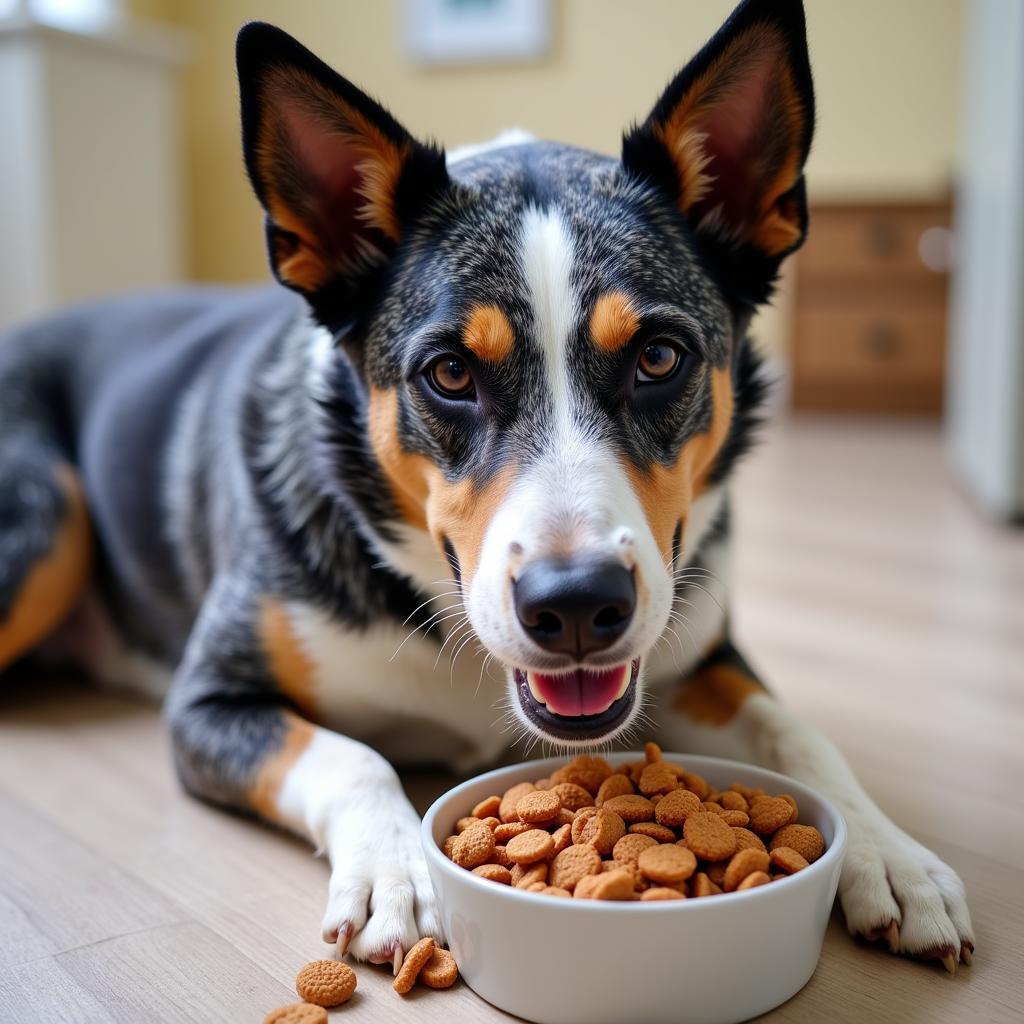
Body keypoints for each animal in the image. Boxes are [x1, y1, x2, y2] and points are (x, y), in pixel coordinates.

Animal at [0, 0, 970, 974]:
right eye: (451, 374)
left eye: (660, 358)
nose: (575, 605)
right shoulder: (207, 699)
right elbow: (356, 758)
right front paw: (401, 872)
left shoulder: (701, 655)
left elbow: (795, 729)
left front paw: (889, 853)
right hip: (50, 511)